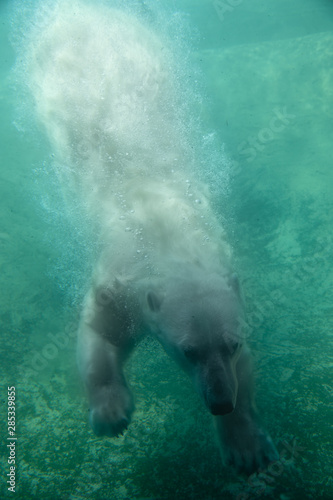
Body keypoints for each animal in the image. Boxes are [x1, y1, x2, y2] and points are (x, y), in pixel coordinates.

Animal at [27, 0, 278, 472]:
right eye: (187, 350)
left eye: (231, 344)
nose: (220, 402)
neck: (168, 241)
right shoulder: (119, 283)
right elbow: (99, 332)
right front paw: (111, 412)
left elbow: (246, 373)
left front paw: (246, 447)